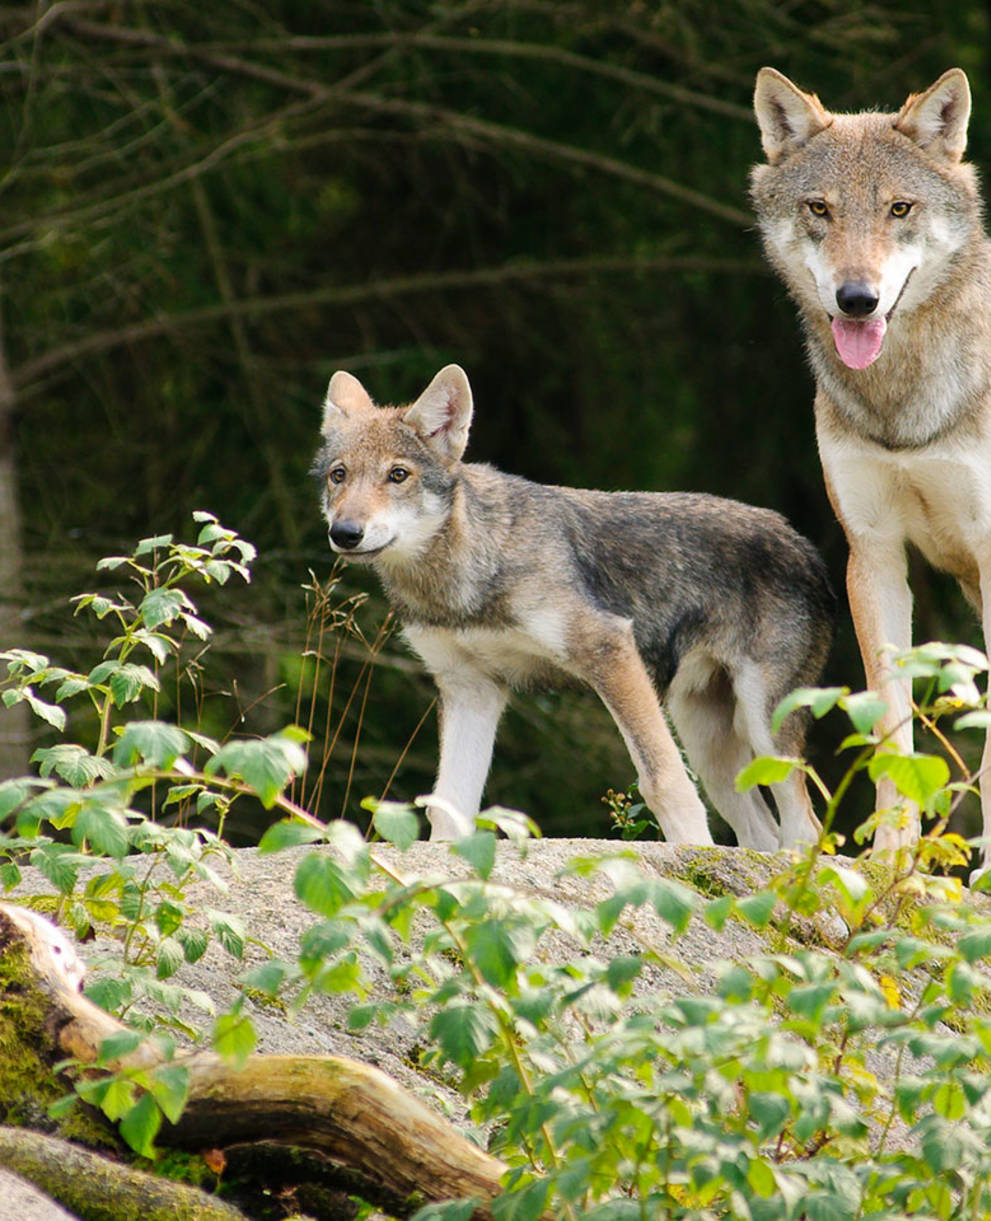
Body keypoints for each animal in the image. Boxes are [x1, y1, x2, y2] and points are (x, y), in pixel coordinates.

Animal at [313, 364, 833, 848]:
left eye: (397, 475)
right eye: (339, 476)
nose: (345, 533)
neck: (464, 581)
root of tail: (804, 544)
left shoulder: (609, 649)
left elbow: (663, 782)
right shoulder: (470, 688)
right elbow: (449, 805)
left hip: (762, 724)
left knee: (803, 827)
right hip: (709, 744)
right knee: (762, 835)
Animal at [751, 67, 991, 854]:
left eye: (899, 208)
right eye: (820, 208)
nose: (856, 299)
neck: (904, 407)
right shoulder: (874, 553)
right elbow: (890, 725)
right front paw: (892, 855)